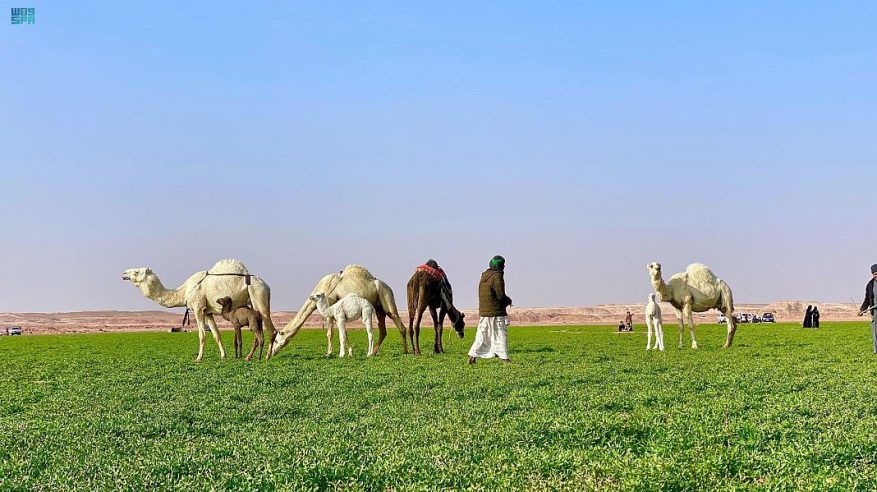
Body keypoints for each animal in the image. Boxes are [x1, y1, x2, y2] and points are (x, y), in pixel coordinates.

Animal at [121, 258, 276, 362]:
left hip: (259, 297)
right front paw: (223, 355)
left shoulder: (198, 308)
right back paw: (250, 357)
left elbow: (202, 335)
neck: (184, 292)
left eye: (136, 272)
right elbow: (216, 334)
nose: (124, 273)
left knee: (272, 330)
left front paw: (198, 358)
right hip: (255, 305)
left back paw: (267, 356)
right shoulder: (208, 312)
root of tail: (267, 286)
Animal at [272, 266, 408, 358]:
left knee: (397, 320)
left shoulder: (331, 304)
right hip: (377, 306)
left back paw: (405, 352)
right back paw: (374, 352)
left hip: (386, 295)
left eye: (276, 340)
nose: (272, 352)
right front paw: (350, 352)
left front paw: (329, 353)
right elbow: (343, 333)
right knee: (382, 329)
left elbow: (330, 333)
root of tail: (388, 287)